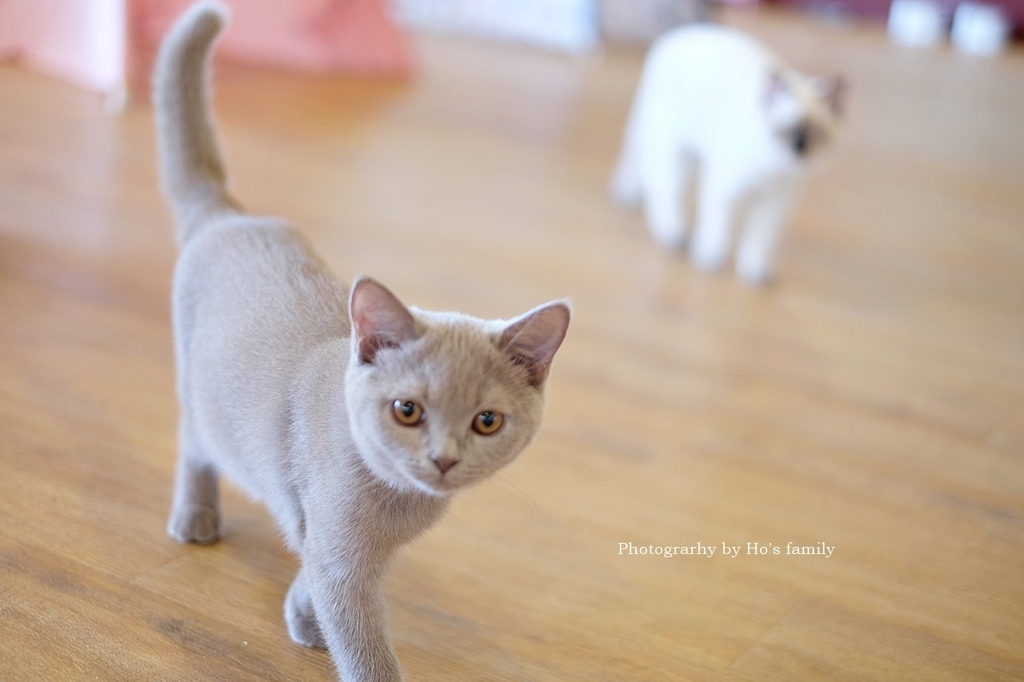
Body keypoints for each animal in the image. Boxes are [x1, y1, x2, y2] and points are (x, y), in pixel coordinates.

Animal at [151, 2, 573, 675]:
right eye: (407, 410)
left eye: (486, 421)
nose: (443, 457)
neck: (399, 505)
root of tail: (230, 215)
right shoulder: (341, 556)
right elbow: (362, 643)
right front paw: (328, 631)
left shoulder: (341, 547)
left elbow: (311, 562)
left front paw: (303, 615)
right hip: (200, 385)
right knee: (194, 438)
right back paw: (196, 515)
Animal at [606, 23, 839, 284]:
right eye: (785, 130)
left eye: (816, 132)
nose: (799, 148)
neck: (771, 168)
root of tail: (676, 34)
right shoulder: (722, 189)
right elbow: (717, 229)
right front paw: (710, 259)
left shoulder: (773, 204)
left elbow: (759, 241)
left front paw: (753, 271)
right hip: (673, 151)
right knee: (661, 188)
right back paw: (672, 232)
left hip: (690, 157)